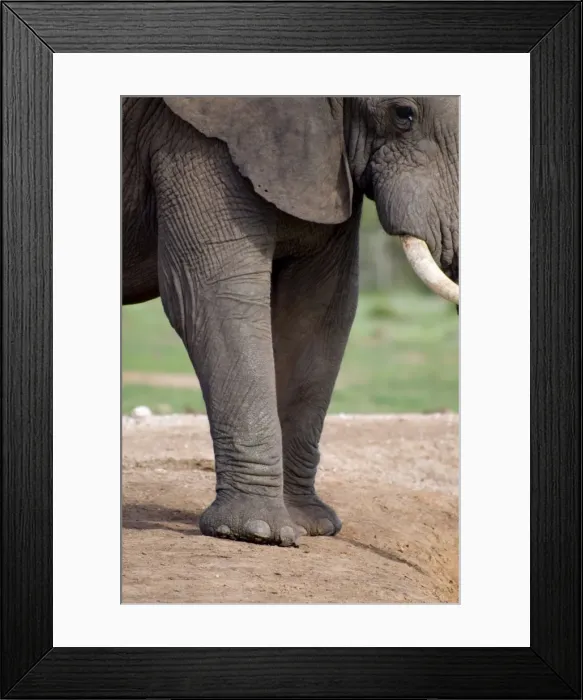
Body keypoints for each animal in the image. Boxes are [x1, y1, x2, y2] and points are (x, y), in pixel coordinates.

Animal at [122, 96, 459, 547]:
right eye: (403, 114)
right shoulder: (191, 133)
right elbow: (216, 293)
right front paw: (256, 532)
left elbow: (317, 308)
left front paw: (311, 527)